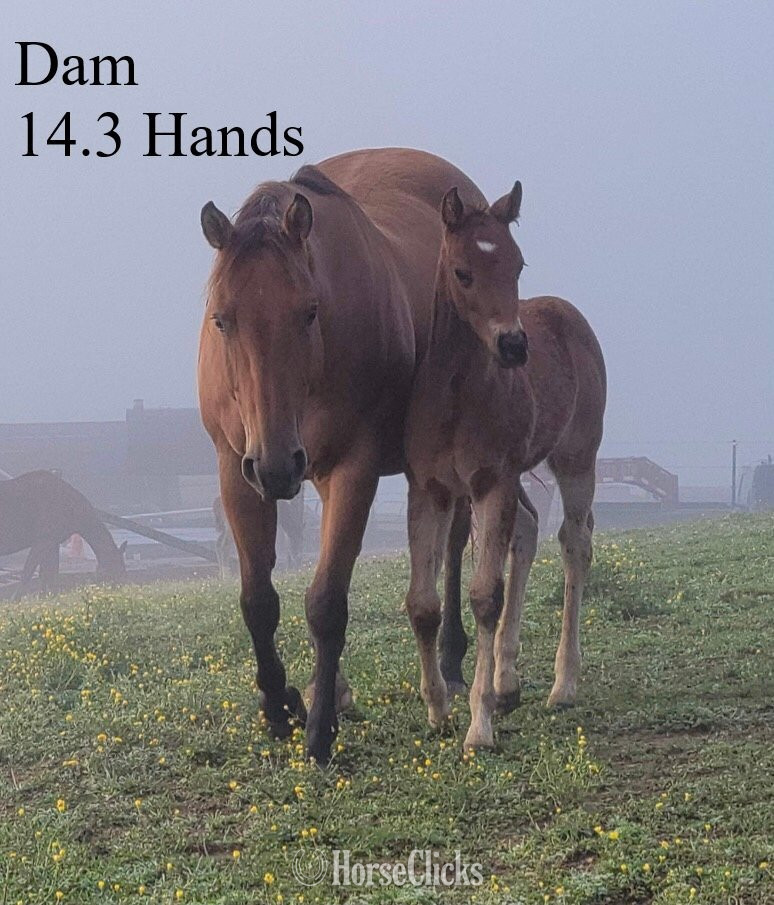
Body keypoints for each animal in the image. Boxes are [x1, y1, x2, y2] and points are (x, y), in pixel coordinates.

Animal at [0, 471, 127, 599]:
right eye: (115, 570)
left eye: (123, 570)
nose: (120, 591)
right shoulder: (42, 541)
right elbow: (29, 573)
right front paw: (16, 599)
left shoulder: (52, 543)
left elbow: (49, 574)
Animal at [198, 148, 483, 763]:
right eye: (221, 319)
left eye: (309, 312)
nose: (277, 465)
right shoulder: (236, 469)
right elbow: (258, 600)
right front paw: (280, 705)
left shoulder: (355, 468)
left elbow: (327, 601)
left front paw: (319, 728)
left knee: (452, 548)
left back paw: (450, 664)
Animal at [404, 182, 606, 751]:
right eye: (462, 272)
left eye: (518, 264)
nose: (514, 346)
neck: (454, 395)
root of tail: (567, 312)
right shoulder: (429, 488)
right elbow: (423, 603)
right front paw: (438, 711)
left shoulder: (490, 482)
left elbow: (484, 596)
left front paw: (479, 724)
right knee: (530, 530)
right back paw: (508, 681)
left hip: (576, 459)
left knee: (574, 544)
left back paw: (562, 685)